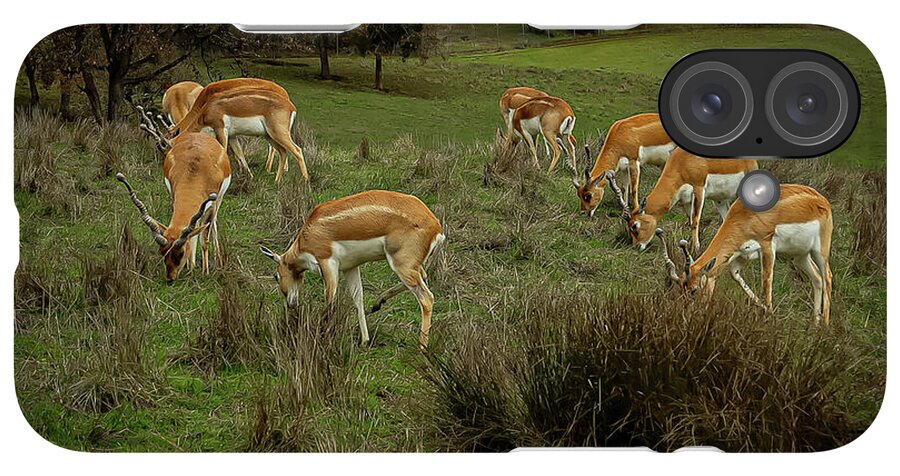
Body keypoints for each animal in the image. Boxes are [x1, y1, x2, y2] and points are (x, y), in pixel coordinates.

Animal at [119, 110, 231, 282]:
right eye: (162, 252)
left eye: (180, 253)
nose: (170, 278)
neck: (196, 171)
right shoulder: (174, 195)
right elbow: (192, 232)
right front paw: (190, 266)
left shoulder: (211, 203)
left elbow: (204, 237)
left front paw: (205, 271)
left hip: (218, 200)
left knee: (212, 224)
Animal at [169, 78, 307, 183]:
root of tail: (291, 106)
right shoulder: (232, 136)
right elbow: (239, 153)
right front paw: (248, 176)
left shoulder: (221, 130)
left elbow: (223, 152)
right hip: (269, 135)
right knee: (283, 151)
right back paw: (277, 180)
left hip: (277, 134)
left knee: (297, 150)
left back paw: (305, 181)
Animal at [259, 190, 446, 350]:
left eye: (276, 276)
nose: (290, 304)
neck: (308, 233)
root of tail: (436, 226)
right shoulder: (350, 267)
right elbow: (358, 299)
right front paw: (364, 341)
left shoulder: (328, 263)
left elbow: (330, 301)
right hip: (410, 266)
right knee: (423, 277)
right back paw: (377, 304)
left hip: (401, 265)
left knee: (427, 298)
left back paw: (422, 347)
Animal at [605, 148, 758, 253]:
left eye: (634, 226)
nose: (636, 246)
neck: (682, 162)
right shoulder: (685, 200)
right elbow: (690, 221)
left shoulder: (699, 188)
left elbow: (696, 221)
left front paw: (696, 248)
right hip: (719, 200)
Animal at [656, 184, 833, 326]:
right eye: (679, 289)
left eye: (693, 290)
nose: (686, 315)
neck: (744, 215)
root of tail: (822, 200)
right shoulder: (740, 255)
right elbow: (737, 277)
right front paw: (764, 310)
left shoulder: (767, 246)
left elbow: (766, 281)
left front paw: (769, 315)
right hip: (800, 256)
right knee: (817, 278)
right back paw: (815, 323)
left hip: (820, 251)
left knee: (828, 277)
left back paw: (825, 325)